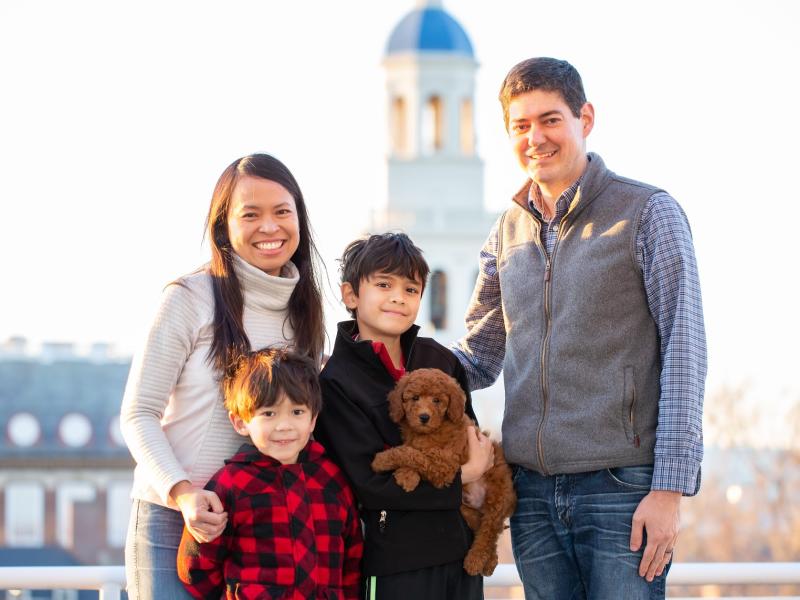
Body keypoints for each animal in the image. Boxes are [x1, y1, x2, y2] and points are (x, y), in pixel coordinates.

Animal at [370, 368, 516, 580]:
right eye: (415, 398)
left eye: (437, 400)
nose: (424, 417)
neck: (431, 431)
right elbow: (412, 450)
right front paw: (407, 476)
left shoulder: (444, 463)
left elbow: (412, 454)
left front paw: (381, 460)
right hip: (467, 509)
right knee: (485, 529)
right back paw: (491, 562)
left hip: (498, 497)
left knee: (489, 531)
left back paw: (475, 561)